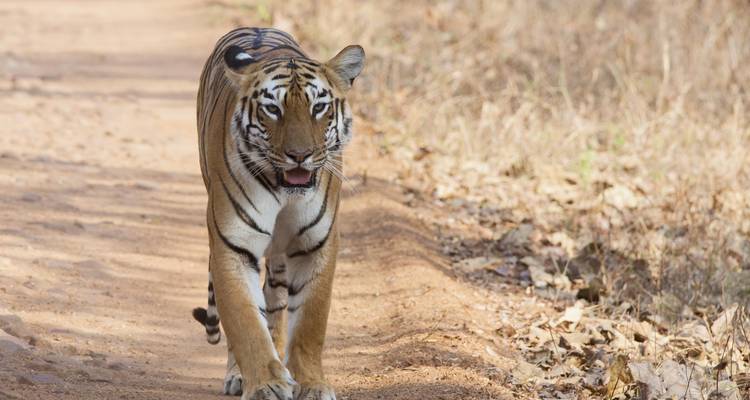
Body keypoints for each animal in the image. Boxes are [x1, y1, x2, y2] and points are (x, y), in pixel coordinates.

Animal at [191, 27, 364, 400]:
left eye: (319, 107)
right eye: (272, 108)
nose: (300, 155)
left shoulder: (317, 245)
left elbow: (310, 323)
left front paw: (311, 384)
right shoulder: (232, 245)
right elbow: (245, 322)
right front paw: (265, 384)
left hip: (281, 259)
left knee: (276, 304)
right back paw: (239, 376)